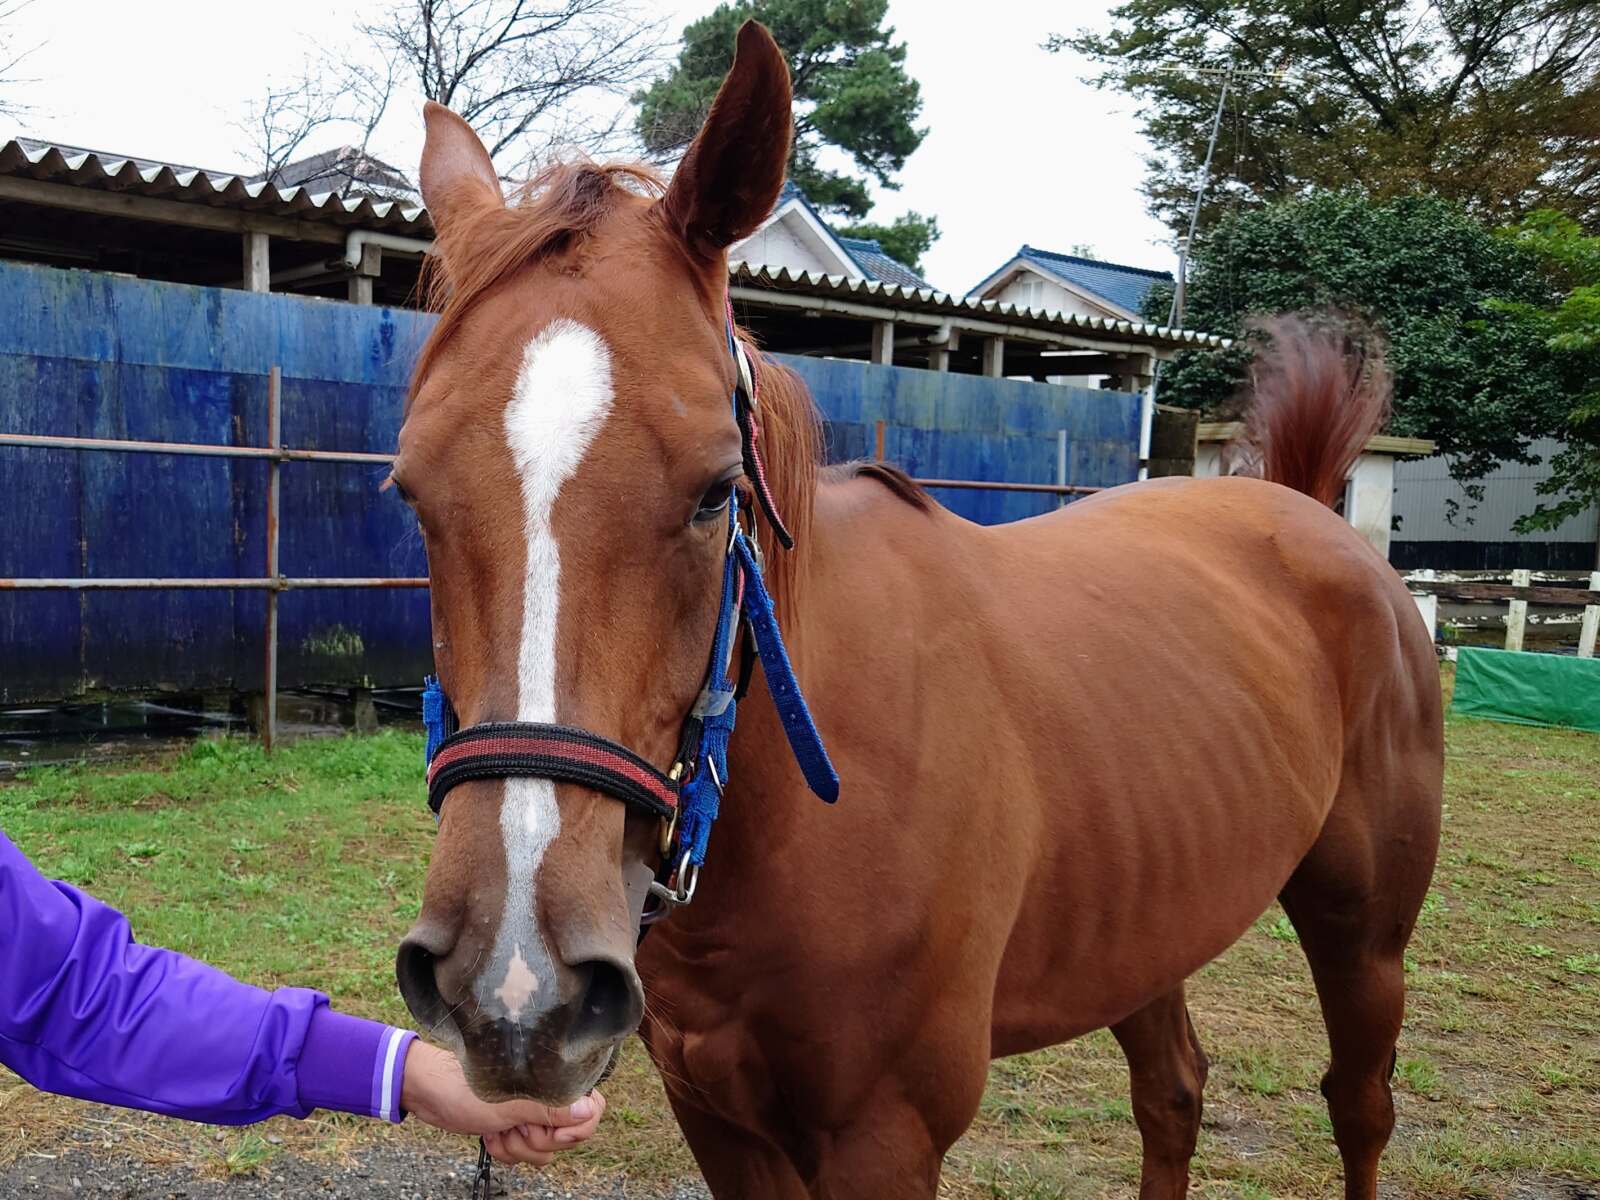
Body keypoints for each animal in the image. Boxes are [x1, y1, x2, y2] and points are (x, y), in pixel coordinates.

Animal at [393, 21, 1446, 1200]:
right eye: (412, 491)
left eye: (716, 491)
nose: (514, 987)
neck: (812, 806)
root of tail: (1305, 509)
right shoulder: (720, 1119)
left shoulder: (886, 1138)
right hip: (1149, 920)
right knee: (1172, 1092)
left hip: (1364, 936)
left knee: (1359, 1106)